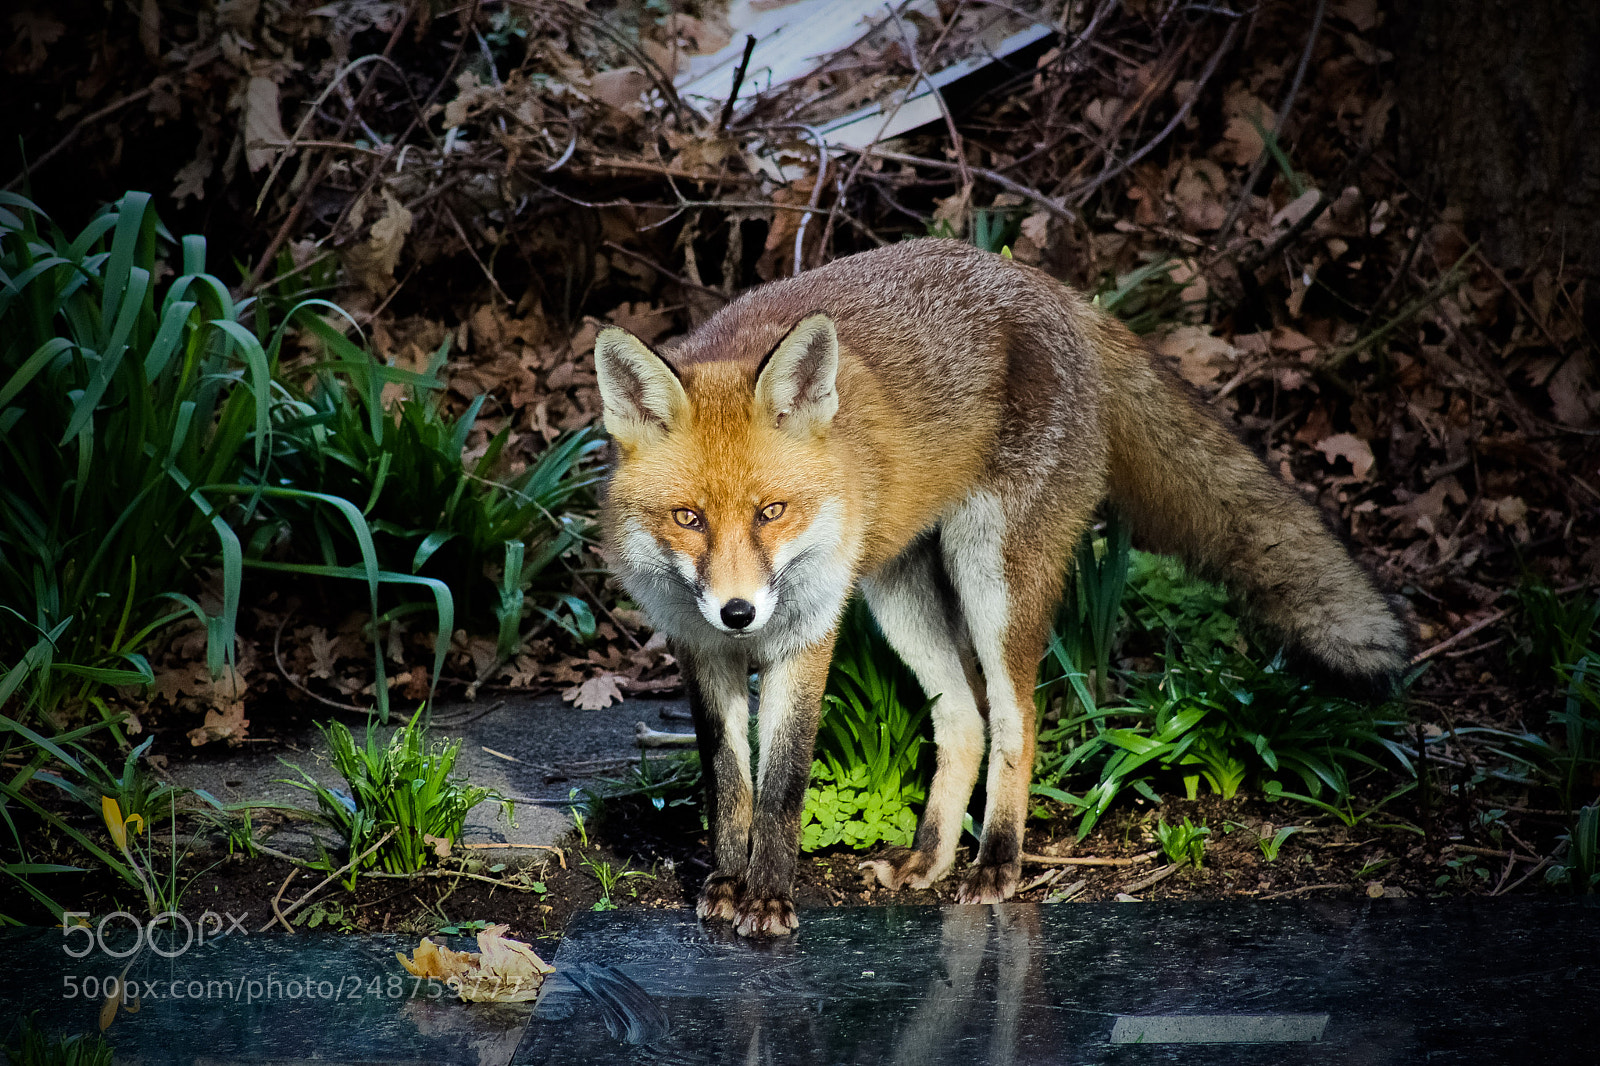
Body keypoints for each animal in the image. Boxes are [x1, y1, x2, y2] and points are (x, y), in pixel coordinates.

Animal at [593, 238, 1408, 938]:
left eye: (771, 511)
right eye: (688, 518)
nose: (739, 612)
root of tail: (1054, 288)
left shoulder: (808, 635)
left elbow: (784, 782)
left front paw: (767, 898)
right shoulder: (700, 649)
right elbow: (730, 782)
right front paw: (728, 885)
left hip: (992, 577)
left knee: (1018, 720)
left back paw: (998, 863)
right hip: (897, 594)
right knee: (963, 718)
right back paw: (930, 858)